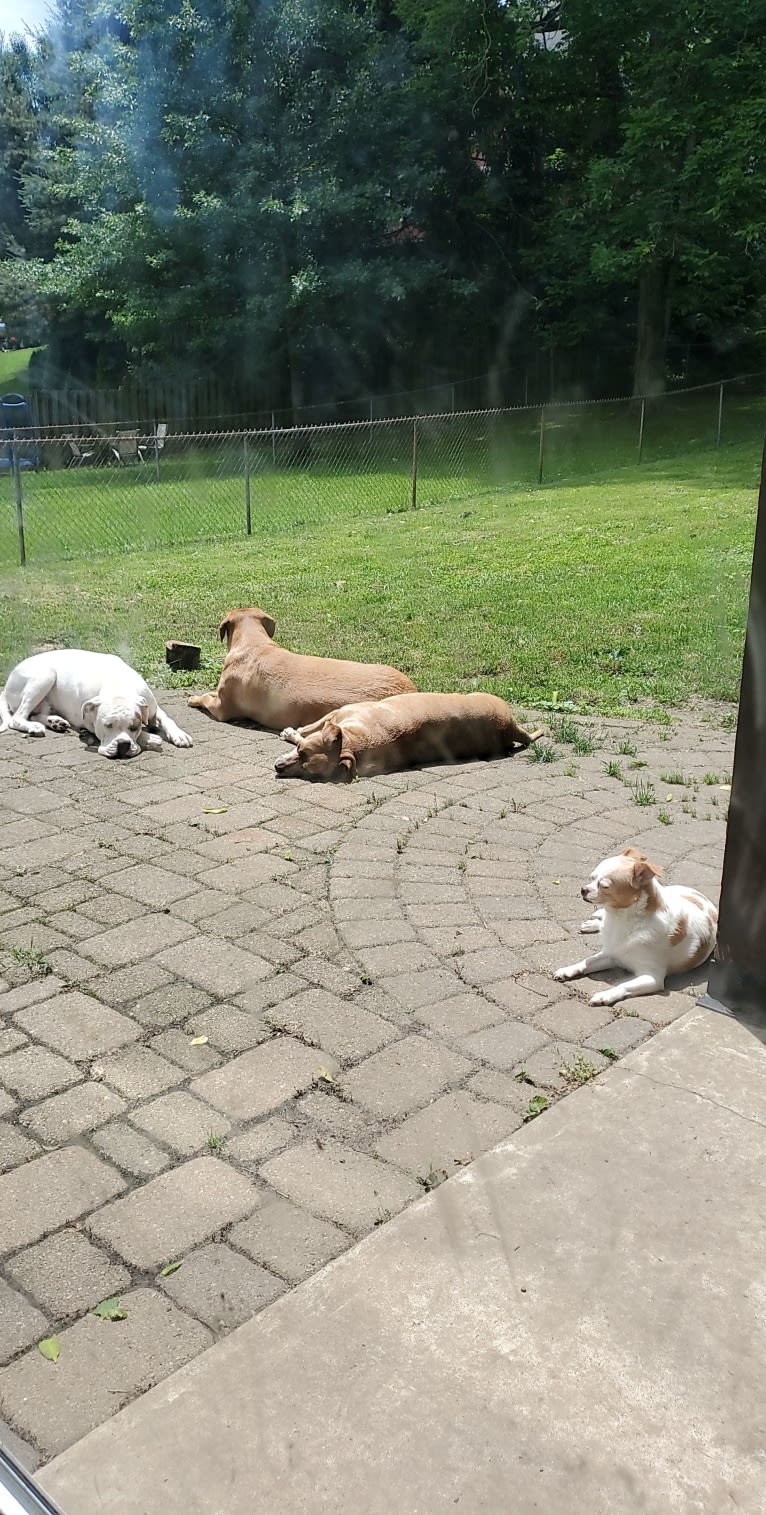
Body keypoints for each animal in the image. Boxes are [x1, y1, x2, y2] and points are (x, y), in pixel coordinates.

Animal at [0, 648, 191, 757]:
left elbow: (167, 719)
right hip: (44, 676)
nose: (123, 746)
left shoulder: (152, 708)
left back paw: (55, 722)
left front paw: (179, 735)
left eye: (134, 726)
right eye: (107, 725)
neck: (118, 685)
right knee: (17, 718)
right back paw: (35, 726)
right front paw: (150, 738)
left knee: (36, 714)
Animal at [272, 690, 541, 781]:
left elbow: (309, 727)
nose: (278, 767)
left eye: (308, 770)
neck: (353, 744)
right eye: (300, 754)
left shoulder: (340, 712)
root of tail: (510, 726)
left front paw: (292, 732)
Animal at [551, 854, 717, 1005]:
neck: (619, 920)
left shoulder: (652, 977)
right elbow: (588, 961)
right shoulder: (611, 955)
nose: (583, 889)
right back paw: (593, 922)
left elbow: (623, 985)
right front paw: (568, 969)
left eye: (604, 886)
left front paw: (605, 995)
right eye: (592, 878)